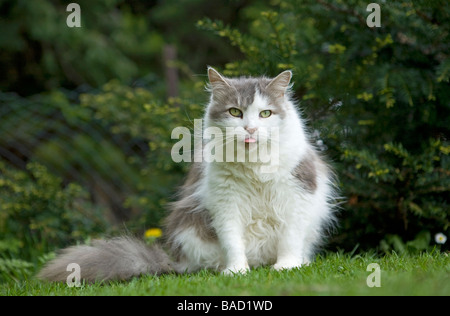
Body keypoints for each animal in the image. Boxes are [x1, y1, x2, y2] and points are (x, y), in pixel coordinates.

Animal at [37, 68, 334, 282]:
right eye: (235, 112)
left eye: (265, 114)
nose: (250, 129)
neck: (254, 164)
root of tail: (175, 261)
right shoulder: (226, 202)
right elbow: (233, 243)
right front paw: (236, 272)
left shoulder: (297, 194)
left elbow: (290, 239)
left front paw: (286, 267)